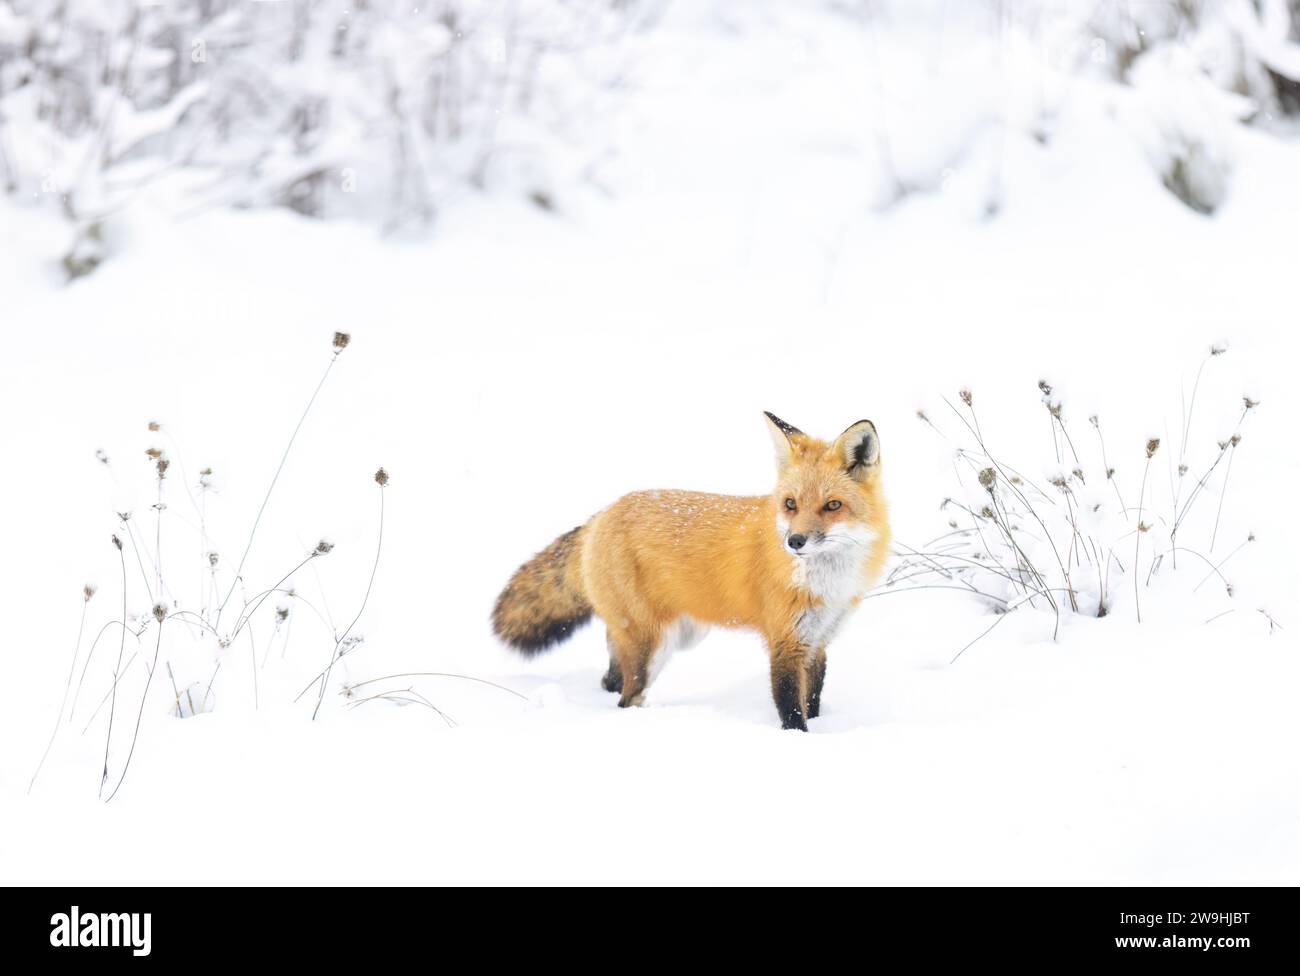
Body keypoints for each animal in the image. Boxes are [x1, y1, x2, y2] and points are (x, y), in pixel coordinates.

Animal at [491, 410, 889, 727]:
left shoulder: (818, 641)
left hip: (676, 636)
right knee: (627, 697)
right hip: (652, 645)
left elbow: (813, 699)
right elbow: (792, 709)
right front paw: (800, 739)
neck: (826, 582)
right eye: (790, 504)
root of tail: (602, 514)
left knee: (611, 680)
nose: (795, 541)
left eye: (832, 505)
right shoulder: (785, 642)